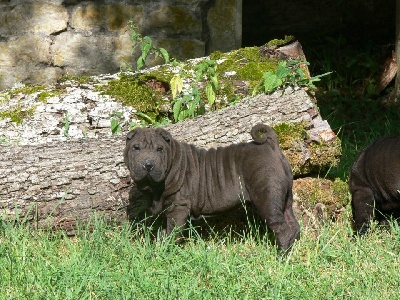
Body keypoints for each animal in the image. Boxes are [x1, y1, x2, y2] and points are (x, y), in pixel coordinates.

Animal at [124, 123, 300, 250]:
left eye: (160, 149)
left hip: (267, 197)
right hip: (285, 199)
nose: (148, 165)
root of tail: (270, 144)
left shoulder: (178, 207)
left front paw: (167, 250)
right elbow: (162, 231)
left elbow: (173, 231)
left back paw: (281, 257)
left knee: (282, 229)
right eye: (136, 148)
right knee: (293, 224)